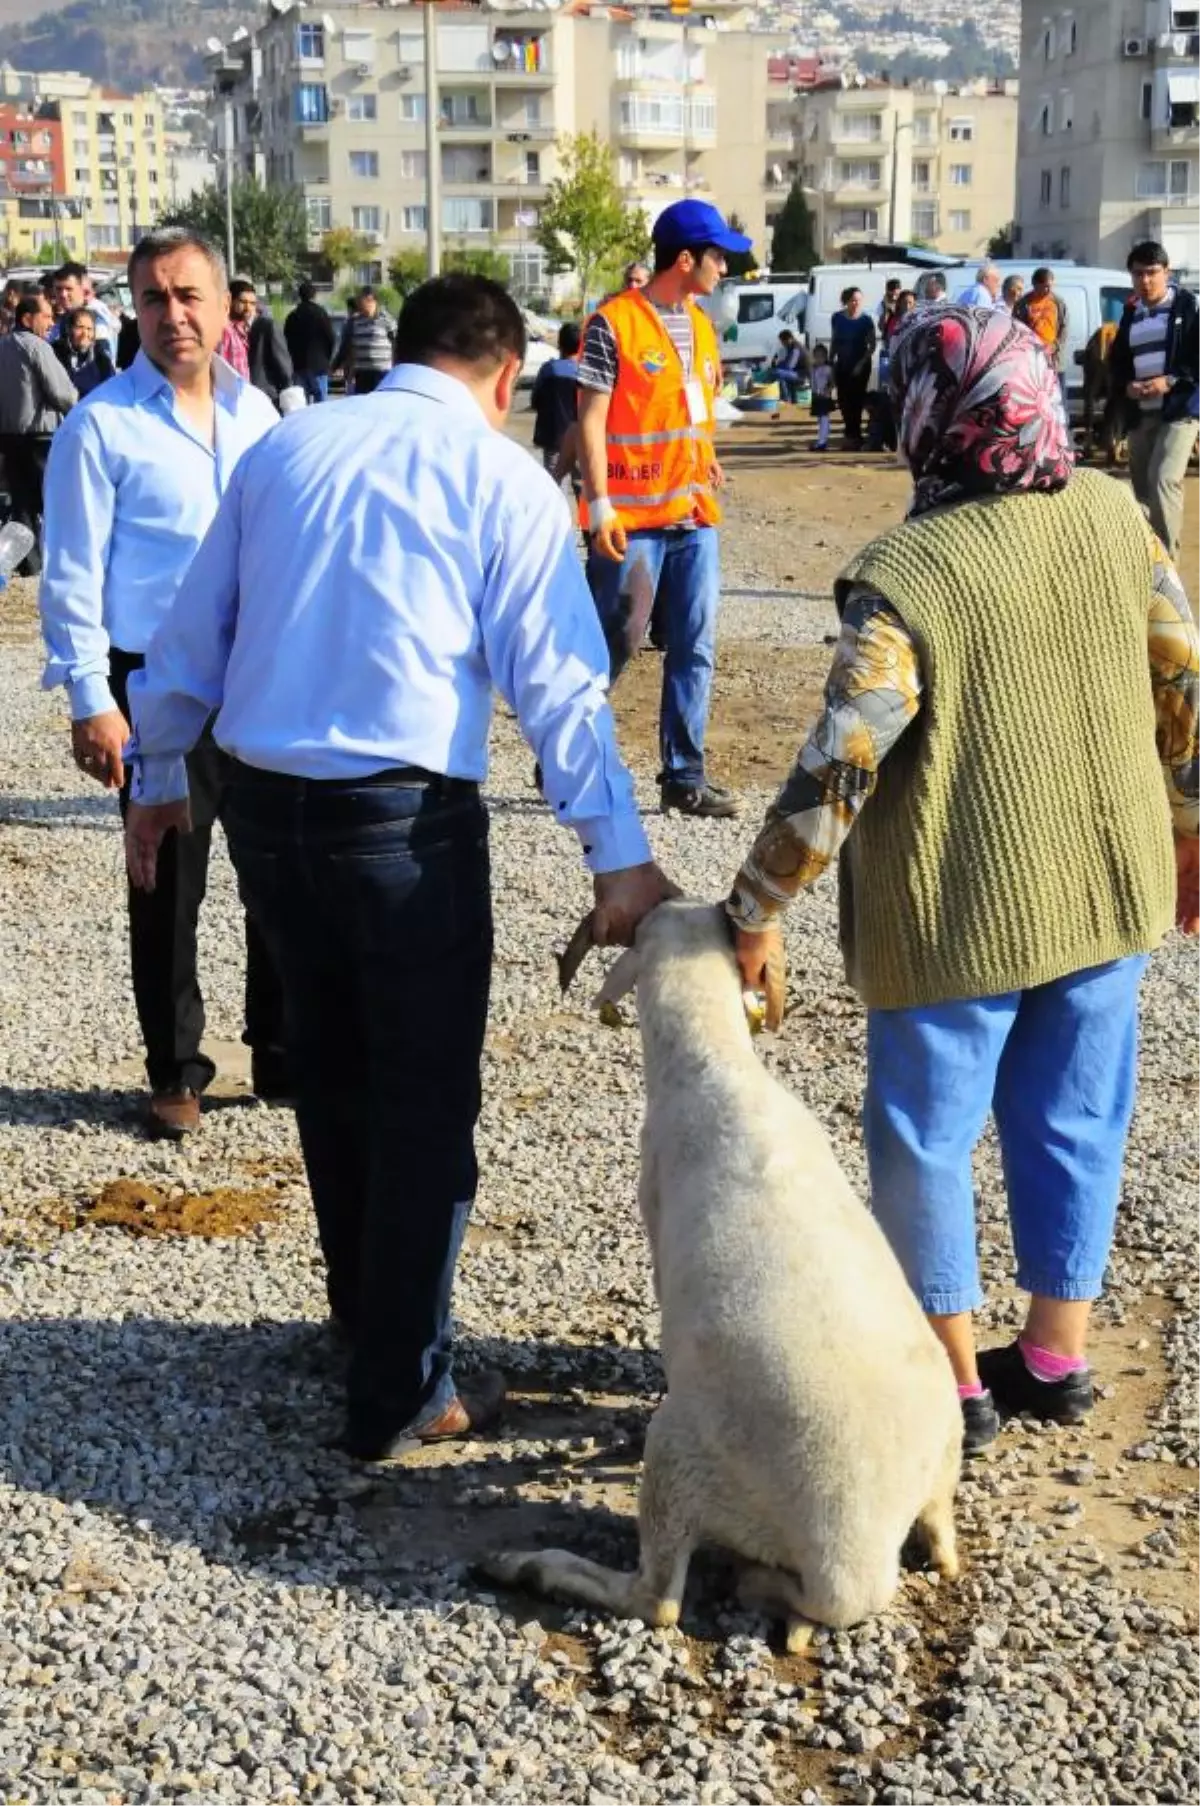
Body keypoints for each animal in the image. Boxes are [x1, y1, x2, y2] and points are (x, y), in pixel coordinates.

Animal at [484, 903, 961, 1654]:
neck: (716, 1064)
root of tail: (851, 1565)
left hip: (685, 1463)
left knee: (657, 1600)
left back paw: (531, 1565)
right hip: (943, 1460)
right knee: (943, 1543)